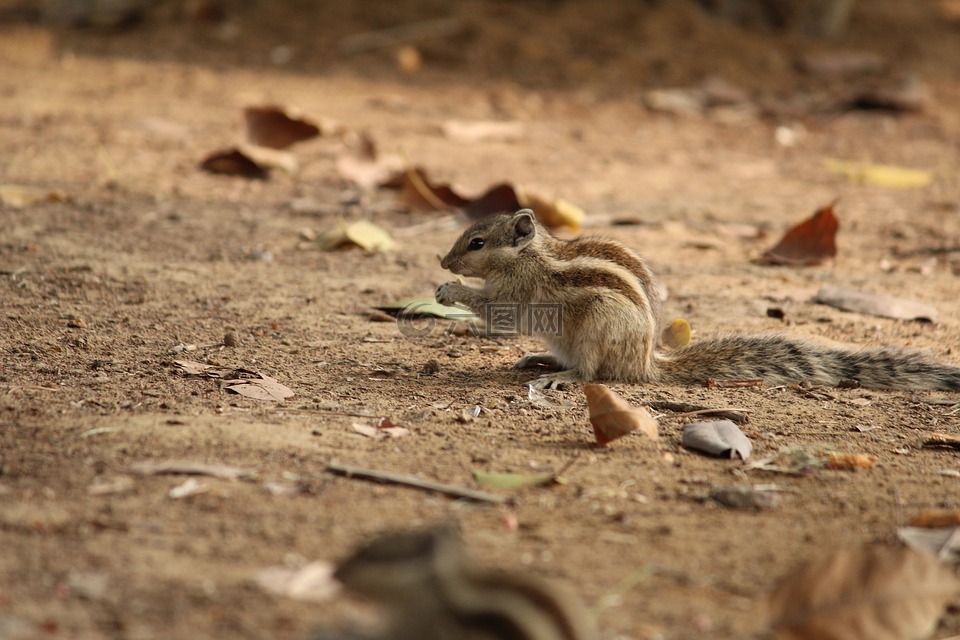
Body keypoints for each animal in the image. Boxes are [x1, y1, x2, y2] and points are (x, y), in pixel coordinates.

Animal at [436, 210, 960, 390]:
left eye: (477, 243)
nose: (443, 261)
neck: (529, 254)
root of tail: (646, 363)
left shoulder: (519, 292)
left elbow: (499, 312)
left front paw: (450, 291)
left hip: (598, 328)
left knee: (591, 373)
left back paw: (560, 377)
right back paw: (539, 360)